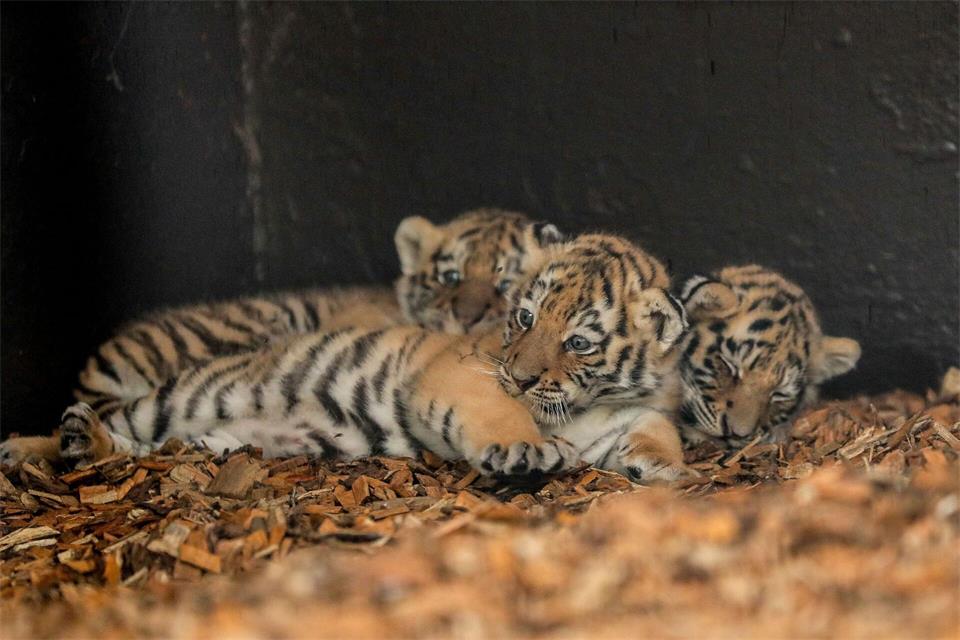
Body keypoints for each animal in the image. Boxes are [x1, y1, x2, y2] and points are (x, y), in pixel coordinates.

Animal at [1, 233, 691, 483]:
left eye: (579, 342)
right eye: (524, 317)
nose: (521, 375)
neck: (591, 403)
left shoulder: (629, 407)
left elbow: (658, 425)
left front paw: (660, 464)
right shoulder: (464, 373)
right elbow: (502, 413)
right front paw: (525, 446)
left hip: (203, 436)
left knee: (141, 446)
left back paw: (78, 442)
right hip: (180, 395)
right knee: (115, 425)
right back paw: (39, 443)